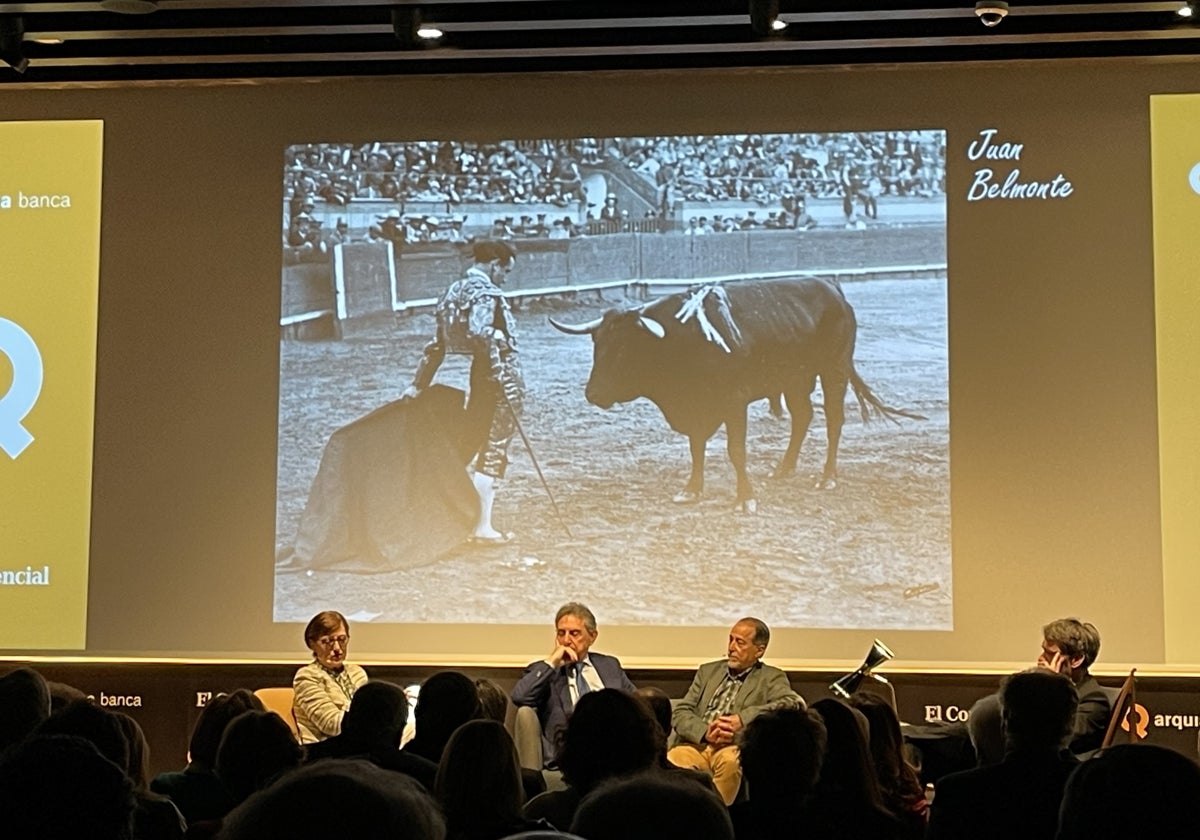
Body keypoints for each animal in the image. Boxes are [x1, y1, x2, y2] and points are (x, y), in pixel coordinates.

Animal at [549, 276, 921, 511]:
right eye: (598, 344)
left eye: (626, 349)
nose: (593, 394)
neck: (682, 341)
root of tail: (833, 289)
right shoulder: (698, 407)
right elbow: (696, 448)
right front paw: (691, 490)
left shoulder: (734, 402)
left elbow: (735, 451)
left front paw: (745, 499)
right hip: (794, 380)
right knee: (803, 416)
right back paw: (783, 469)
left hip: (834, 371)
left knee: (833, 420)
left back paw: (827, 478)